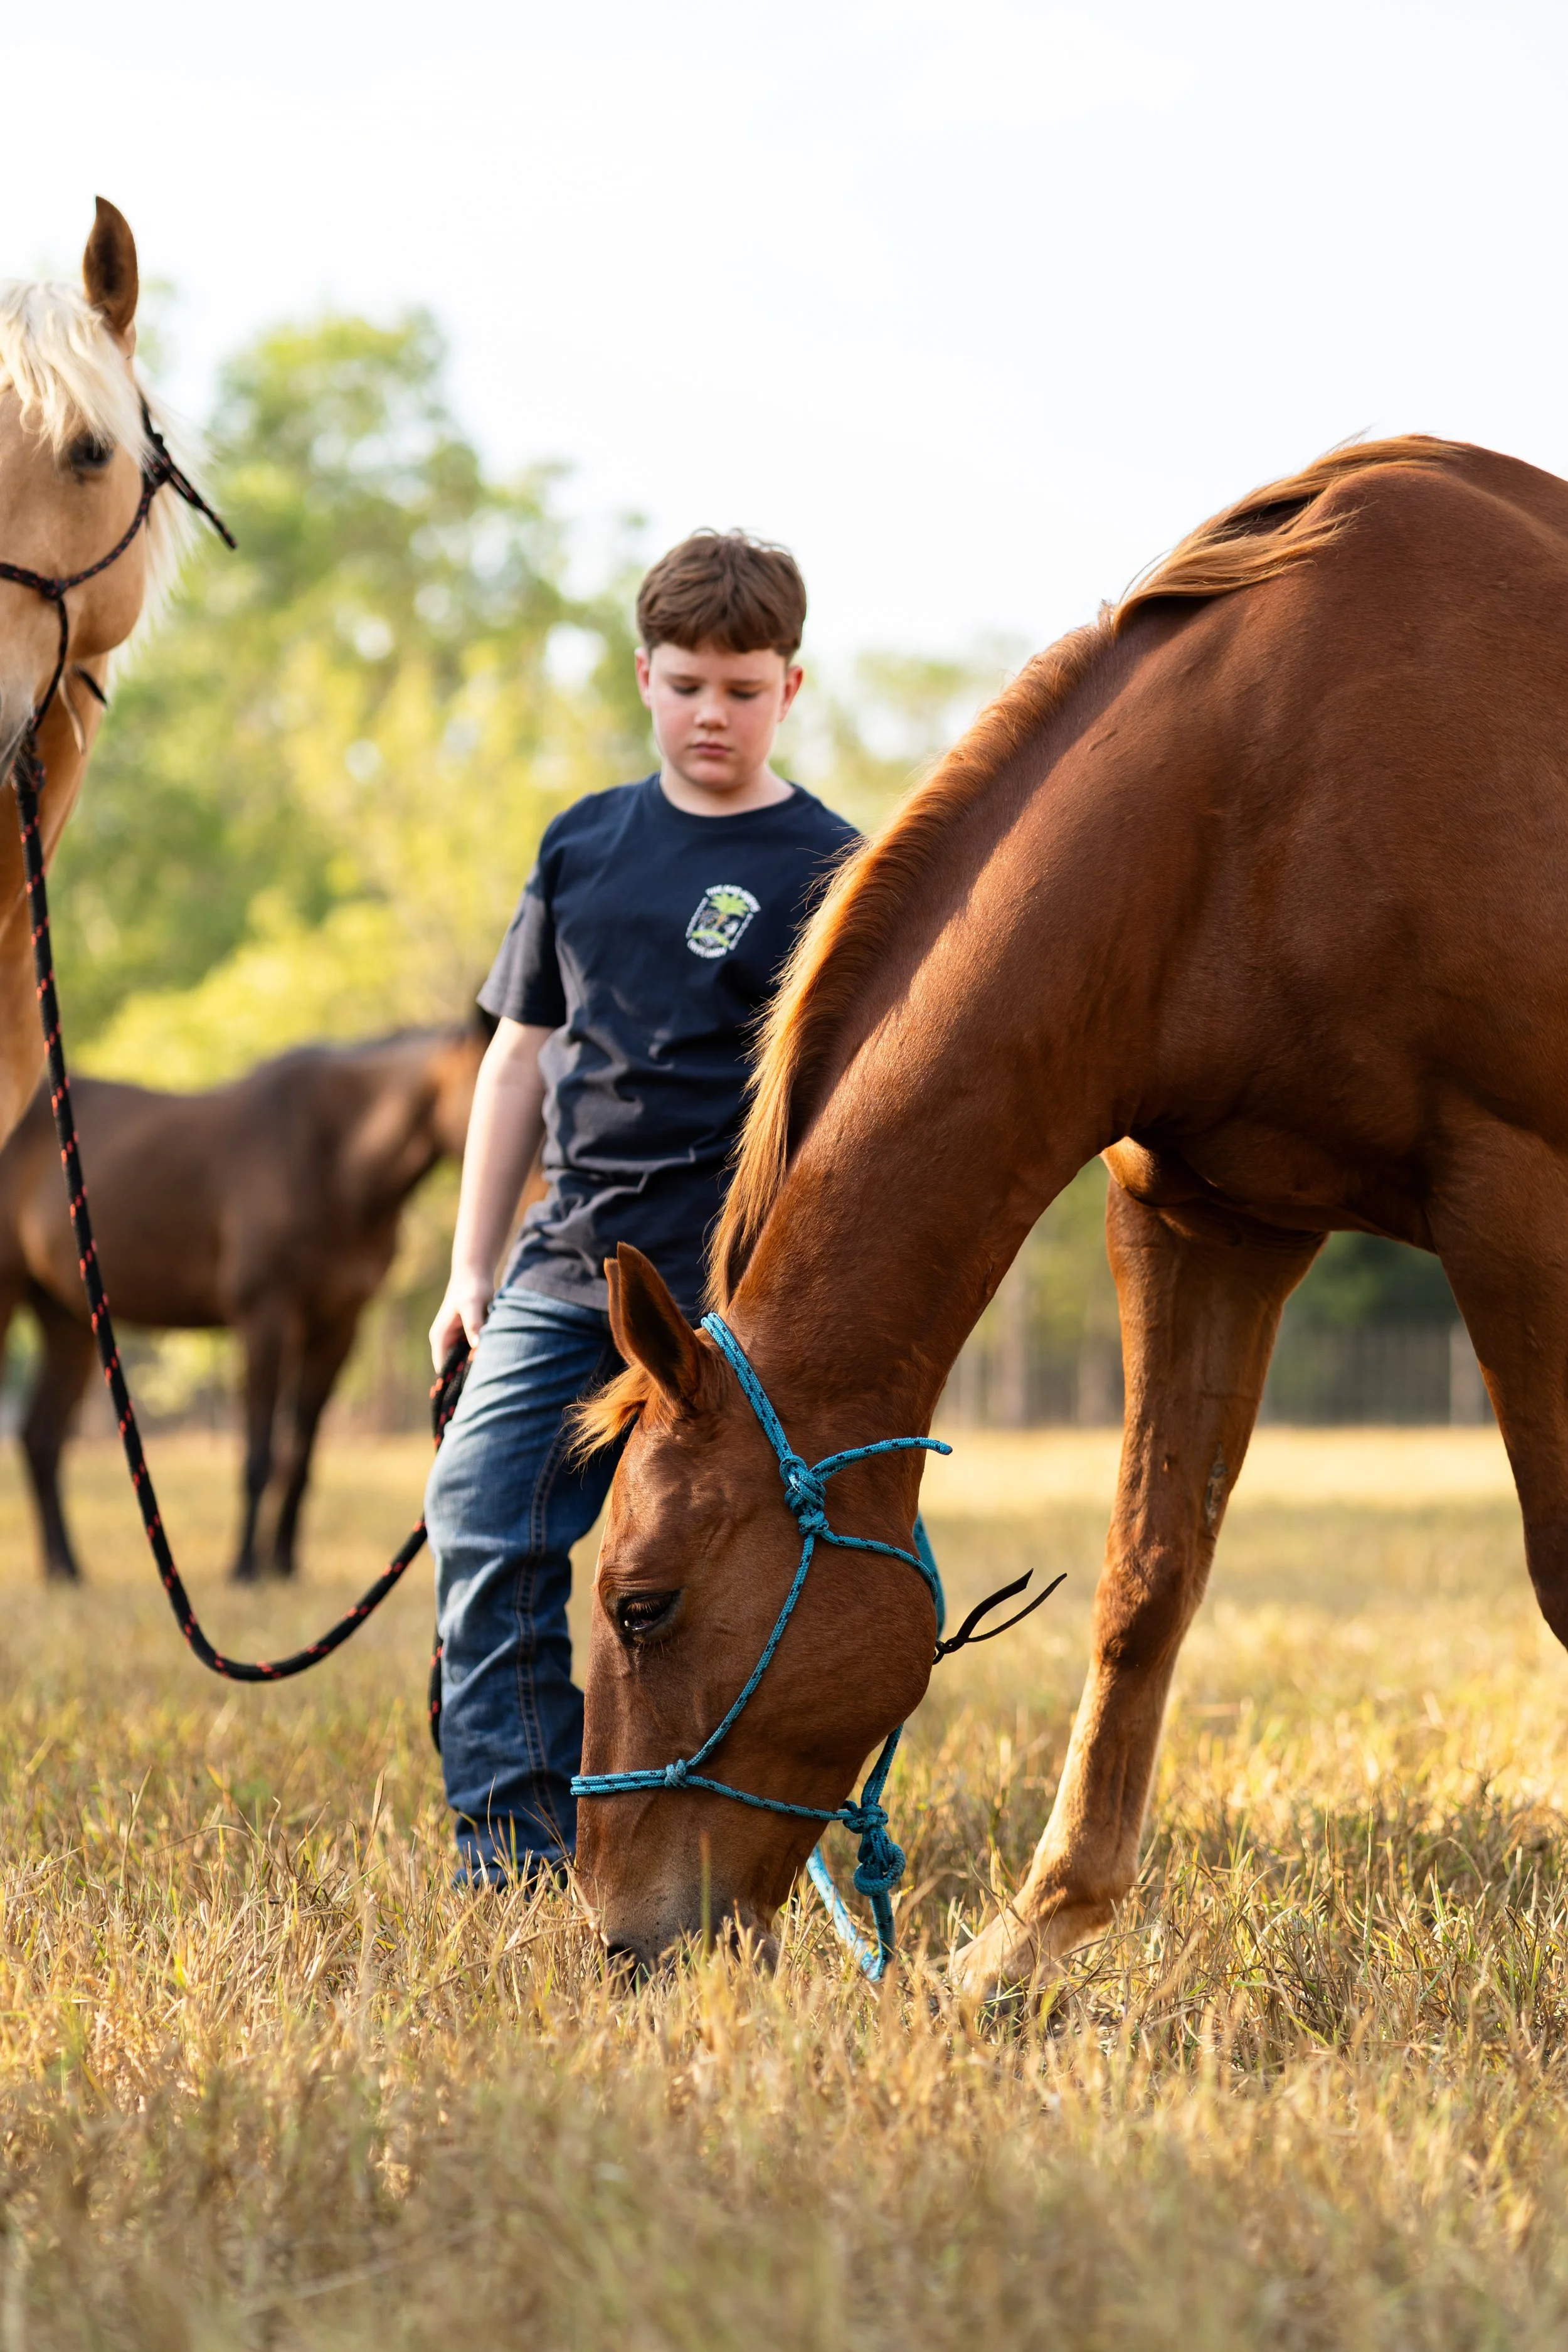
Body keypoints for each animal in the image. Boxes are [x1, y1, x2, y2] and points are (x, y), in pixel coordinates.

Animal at [0, 1023, 484, 1583]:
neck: (330, 1155)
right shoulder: (265, 1317)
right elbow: (259, 1455)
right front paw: (246, 1567)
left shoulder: (338, 1327)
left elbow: (301, 1456)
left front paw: (284, 1564)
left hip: (69, 1321)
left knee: (40, 1439)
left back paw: (66, 1568)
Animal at [568, 434, 1568, 1993]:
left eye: (640, 1604)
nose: (620, 1939)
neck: (1261, 792)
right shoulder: (1198, 1221)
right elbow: (1145, 1579)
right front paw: (1027, 1940)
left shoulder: (1513, 1202)